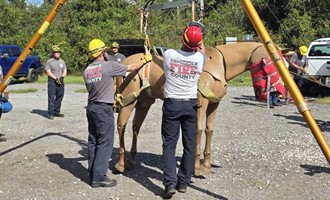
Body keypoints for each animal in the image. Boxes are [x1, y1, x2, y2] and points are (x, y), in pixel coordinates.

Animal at [113, 41, 284, 175]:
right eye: (271, 63)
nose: (281, 92)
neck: (219, 65)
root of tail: (124, 64)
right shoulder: (202, 102)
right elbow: (199, 129)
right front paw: (195, 167)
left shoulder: (214, 104)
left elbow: (209, 130)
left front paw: (206, 165)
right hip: (128, 101)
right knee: (121, 125)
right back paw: (120, 163)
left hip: (144, 102)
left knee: (136, 127)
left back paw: (130, 161)